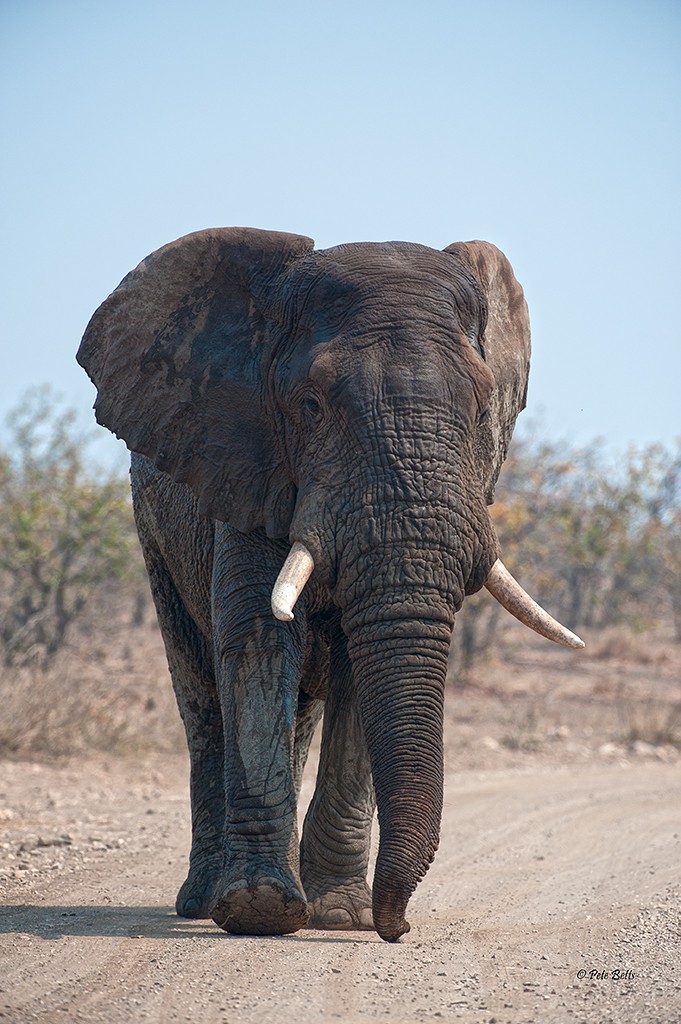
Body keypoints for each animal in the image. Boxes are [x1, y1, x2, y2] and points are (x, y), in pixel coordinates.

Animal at [76, 226, 581, 942]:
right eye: (310, 406)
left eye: (483, 405)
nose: (397, 928)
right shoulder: (247, 469)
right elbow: (258, 641)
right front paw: (260, 912)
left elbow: (354, 670)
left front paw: (340, 916)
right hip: (153, 534)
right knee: (202, 695)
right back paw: (206, 901)